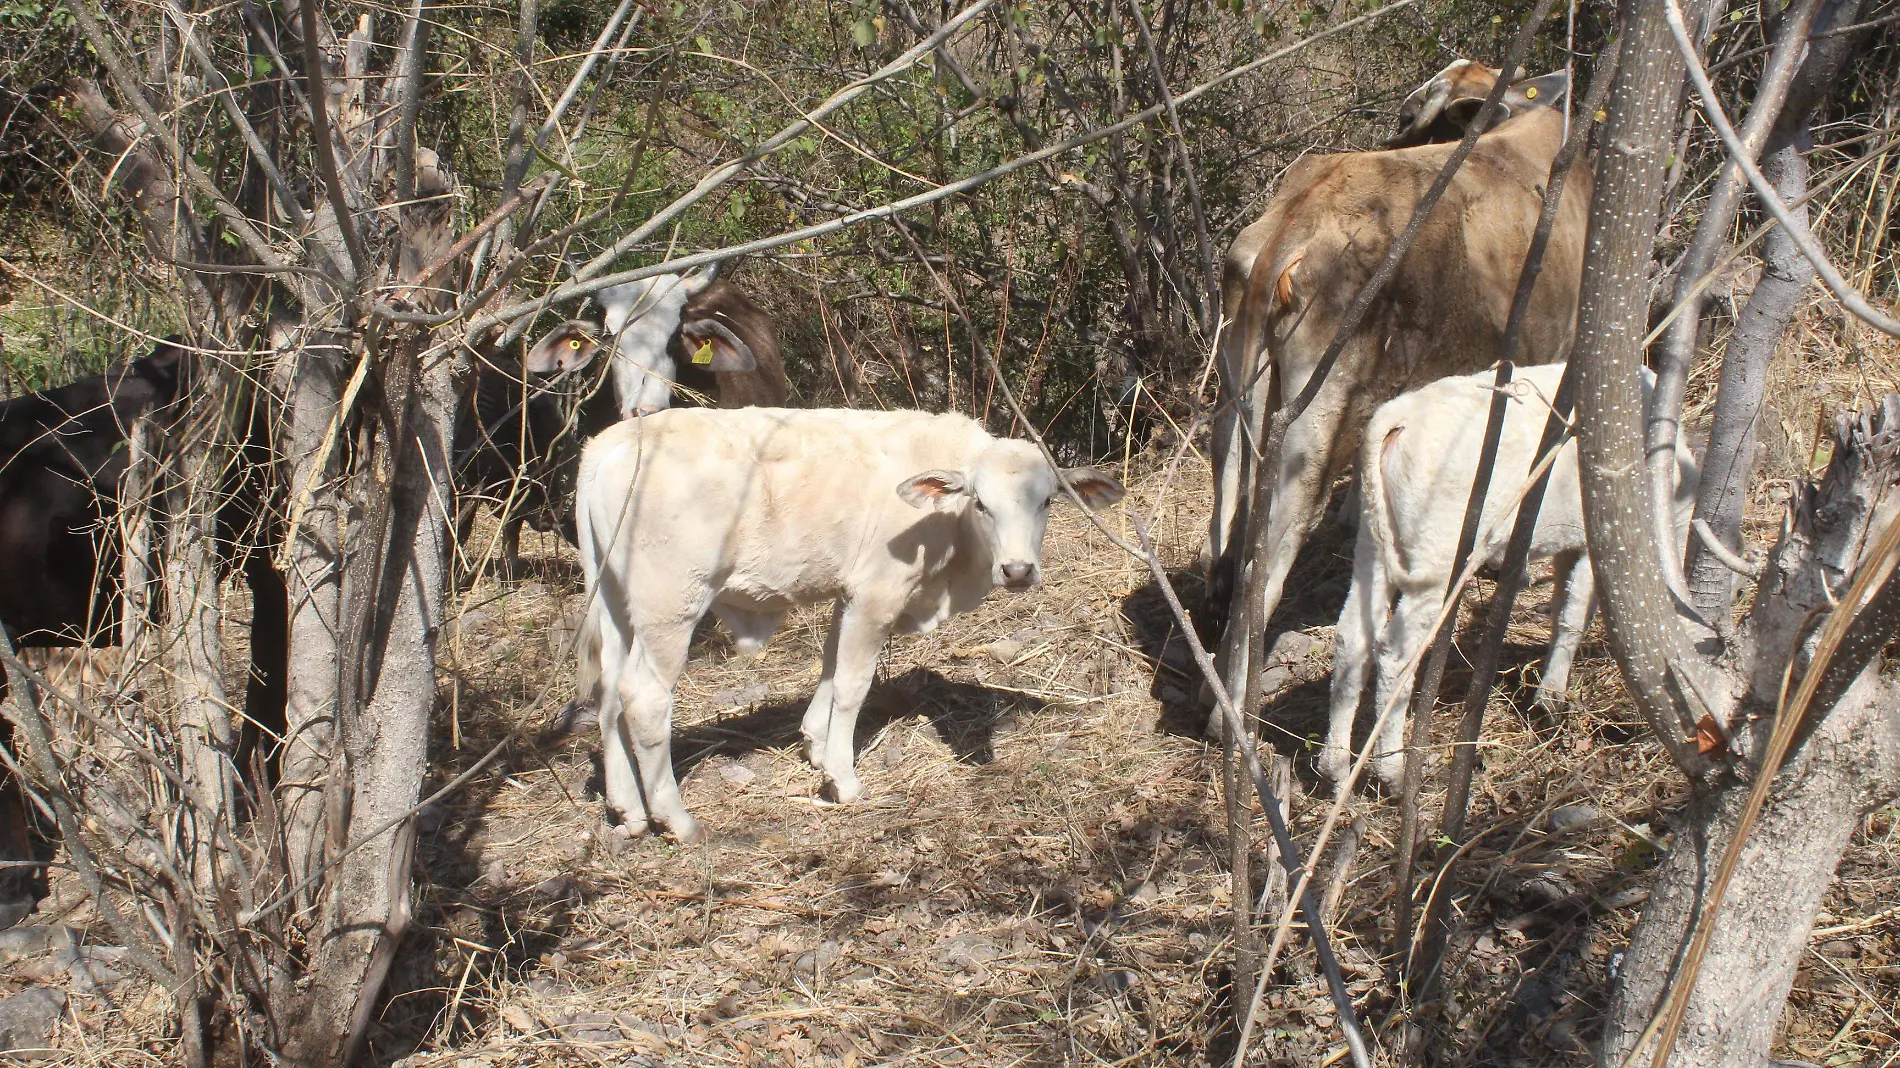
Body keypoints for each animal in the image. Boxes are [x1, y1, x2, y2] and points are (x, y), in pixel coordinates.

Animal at [570, 402, 1117, 836]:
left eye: (1046, 500)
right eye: (981, 503)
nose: (1018, 570)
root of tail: (617, 439)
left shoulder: (847, 594)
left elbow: (831, 669)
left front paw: (815, 743)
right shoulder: (877, 592)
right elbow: (853, 685)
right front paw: (842, 778)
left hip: (615, 599)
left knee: (610, 693)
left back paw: (629, 810)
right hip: (672, 604)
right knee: (644, 698)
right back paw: (676, 819)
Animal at [1200, 64, 1588, 714]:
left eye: (1412, 114)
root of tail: (1291, 224)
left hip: (1238, 401)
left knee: (1222, 548)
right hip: (1313, 427)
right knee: (1261, 567)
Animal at [1322, 361, 1710, 786]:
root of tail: (1399, 415)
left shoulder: (1571, 542)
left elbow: (1562, 608)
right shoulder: (1600, 540)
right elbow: (1575, 616)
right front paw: (1551, 700)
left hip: (1372, 543)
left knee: (1352, 636)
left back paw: (1335, 765)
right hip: (1437, 555)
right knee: (1396, 653)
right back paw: (1391, 769)